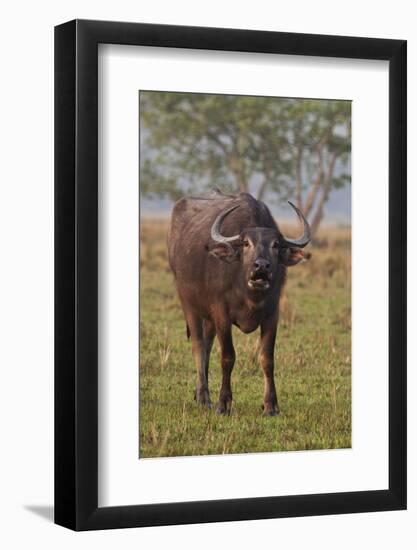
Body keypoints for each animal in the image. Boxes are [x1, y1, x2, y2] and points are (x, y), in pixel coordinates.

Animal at [167, 191, 310, 418]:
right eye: (246, 243)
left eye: (275, 245)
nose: (261, 266)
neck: (248, 294)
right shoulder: (221, 314)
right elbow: (228, 357)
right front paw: (224, 404)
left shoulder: (272, 315)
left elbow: (267, 359)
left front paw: (271, 405)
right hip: (188, 303)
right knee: (198, 346)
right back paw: (205, 397)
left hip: (208, 317)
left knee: (207, 344)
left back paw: (199, 394)